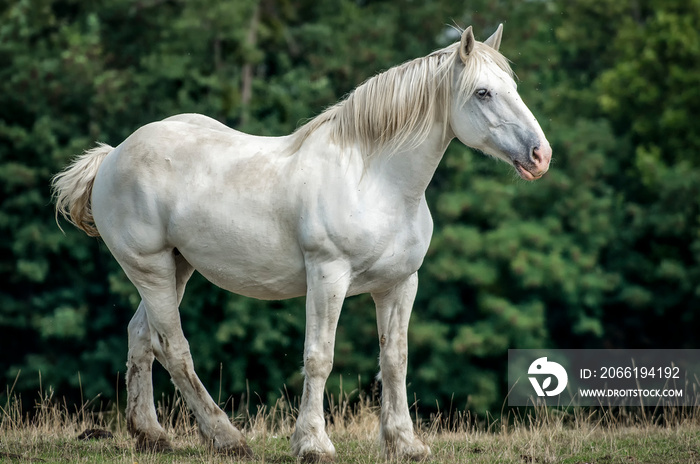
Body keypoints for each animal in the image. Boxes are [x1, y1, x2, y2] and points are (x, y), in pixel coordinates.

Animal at [52, 24, 548, 460]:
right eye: (482, 92)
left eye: (512, 86)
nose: (540, 155)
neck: (376, 180)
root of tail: (113, 155)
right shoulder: (328, 276)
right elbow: (319, 358)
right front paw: (313, 444)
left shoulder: (400, 284)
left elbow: (395, 360)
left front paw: (405, 444)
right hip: (150, 267)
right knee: (173, 347)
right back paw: (227, 438)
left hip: (177, 268)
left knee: (142, 337)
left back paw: (152, 436)